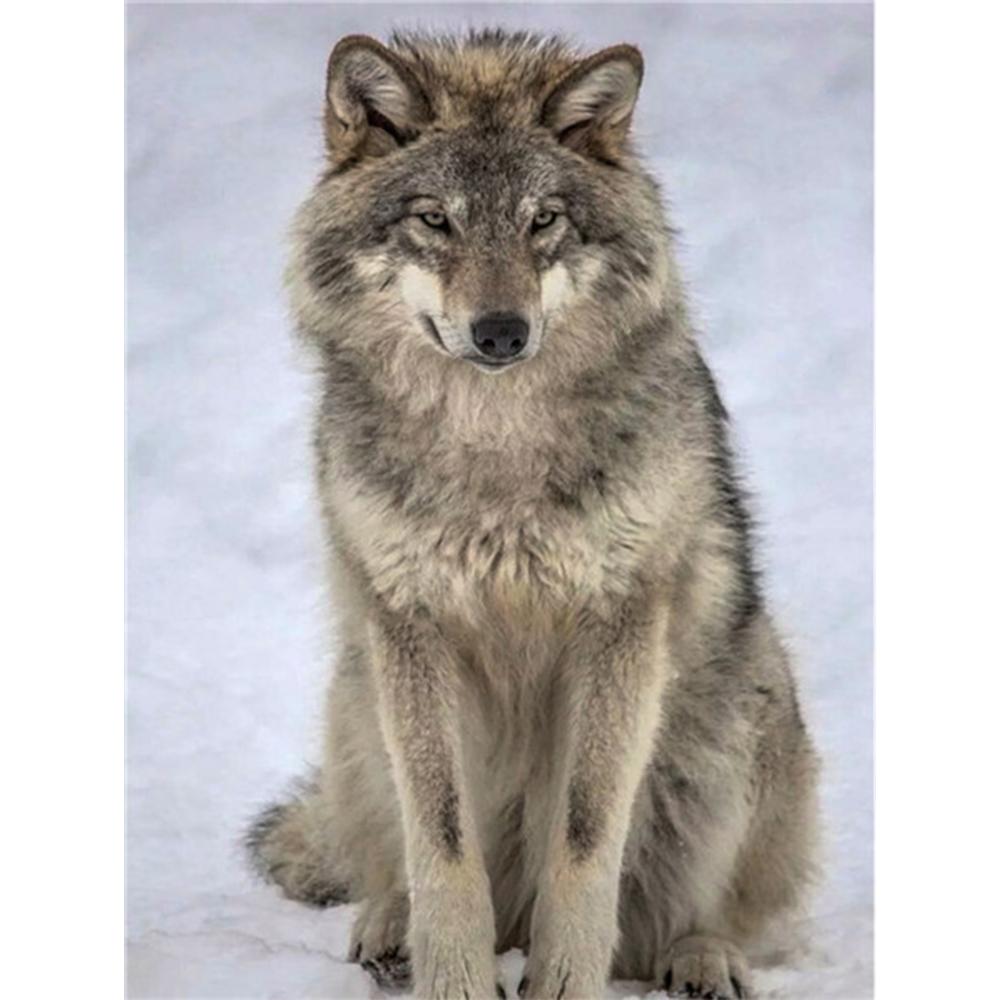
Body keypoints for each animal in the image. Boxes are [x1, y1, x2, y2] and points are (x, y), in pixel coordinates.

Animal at [246, 28, 819, 1000]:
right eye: (435, 220)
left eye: (542, 220)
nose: (502, 332)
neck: (497, 451)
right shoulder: (410, 623)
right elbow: (439, 836)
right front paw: (452, 976)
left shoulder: (620, 623)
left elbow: (587, 834)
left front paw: (563, 979)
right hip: (358, 696)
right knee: (385, 859)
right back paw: (389, 930)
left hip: (740, 702)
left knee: (707, 913)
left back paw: (701, 959)